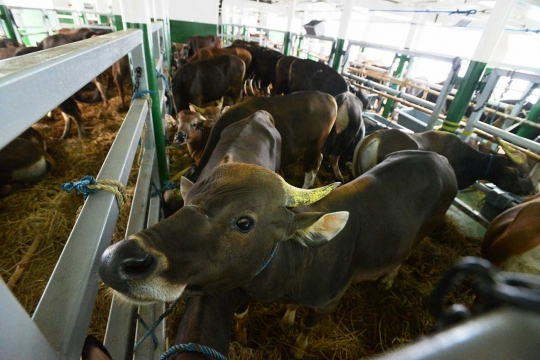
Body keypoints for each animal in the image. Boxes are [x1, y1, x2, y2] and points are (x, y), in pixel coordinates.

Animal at [99, 149, 458, 358]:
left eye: (244, 222)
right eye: (186, 202)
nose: (118, 260)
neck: (294, 267)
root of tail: (441, 161)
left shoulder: (327, 303)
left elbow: (306, 332)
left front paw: (296, 346)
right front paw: (281, 320)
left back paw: (388, 280)